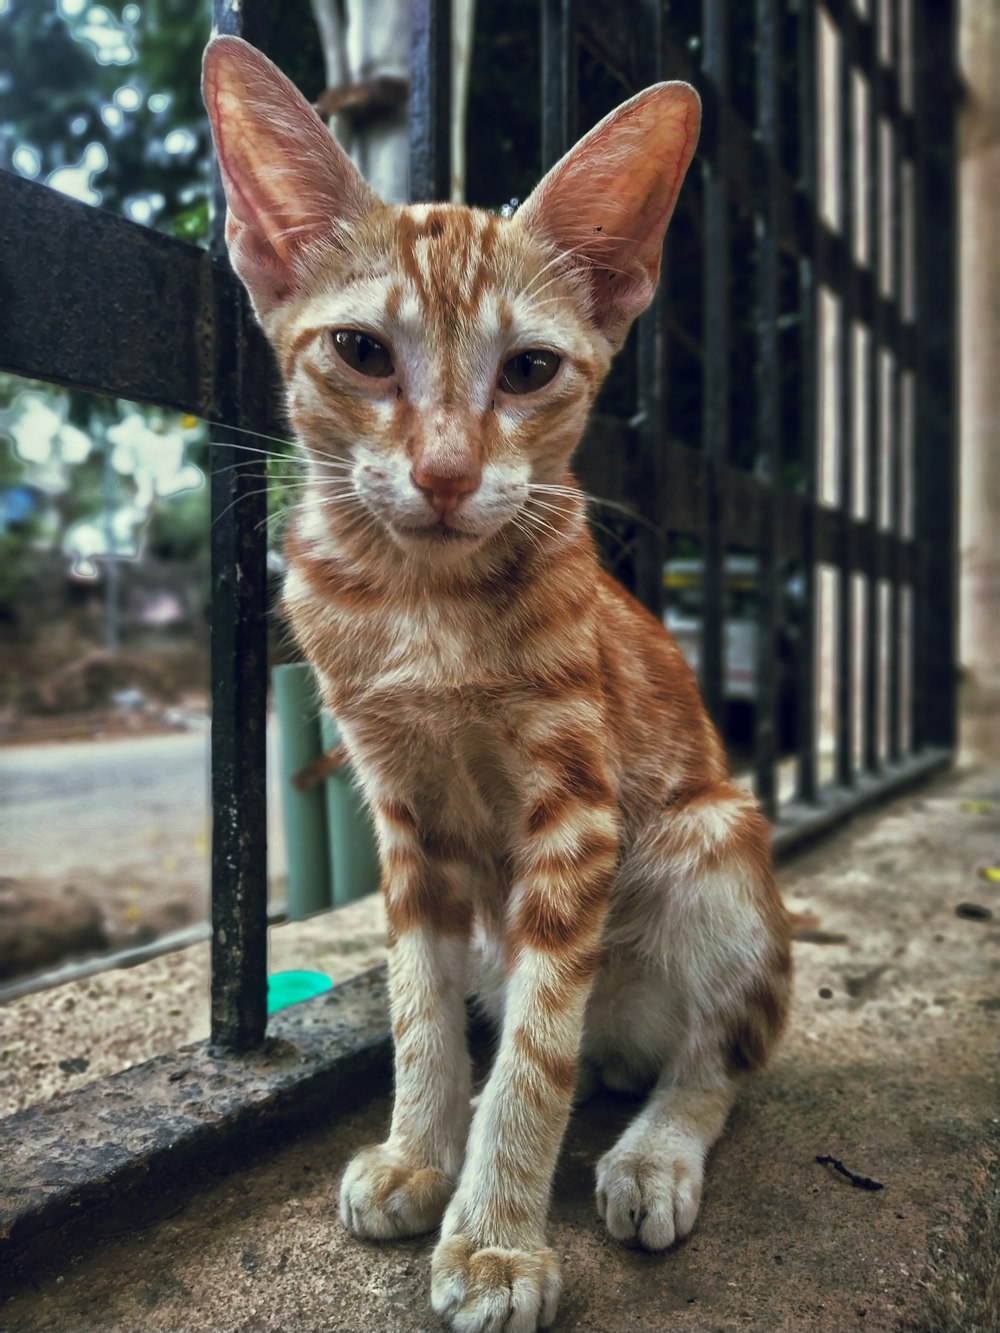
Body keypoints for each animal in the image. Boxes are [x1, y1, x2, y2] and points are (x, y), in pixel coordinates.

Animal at [208, 36, 794, 1327]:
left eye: (528, 370)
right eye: (361, 351)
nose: (443, 472)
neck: (419, 602)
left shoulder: (574, 806)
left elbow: (535, 1046)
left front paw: (496, 1239)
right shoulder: (401, 808)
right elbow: (419, 1005)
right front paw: (422, 1152)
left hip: (713, 839)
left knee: (714, 1050)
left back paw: (653, 1148)